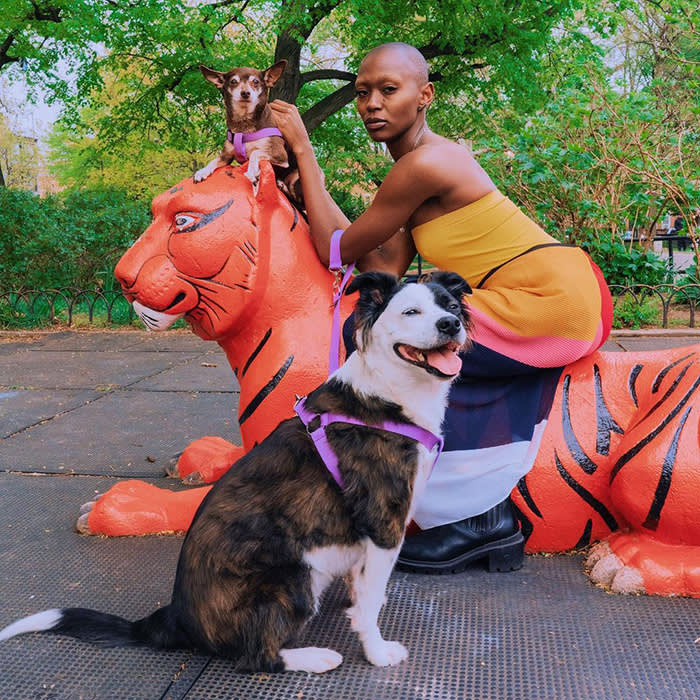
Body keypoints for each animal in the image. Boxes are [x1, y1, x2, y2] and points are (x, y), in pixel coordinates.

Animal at [1, 270, 470, 672]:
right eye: (410, 312)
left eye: (450, 305)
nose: (450, 324)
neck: (388, 394)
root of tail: (176, 616)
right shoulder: (383, 522)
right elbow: (370, 603)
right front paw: (376, 652)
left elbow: (364, 592)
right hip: (293, 575)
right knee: (255, 656)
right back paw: (313, 657)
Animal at [194, 60, 300, 202]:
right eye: (233, 81)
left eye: (255, 81)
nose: (245, 93)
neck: (243, 125)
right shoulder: (225, 156)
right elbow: (213, 161)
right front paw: (202, 171)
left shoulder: (280, 154)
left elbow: (255, 153)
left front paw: (252, 171)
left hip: (296, 177)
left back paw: (281, 185)